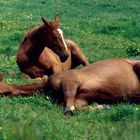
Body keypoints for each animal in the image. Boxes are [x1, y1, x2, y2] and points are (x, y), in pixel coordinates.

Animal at [0, 58, 140, 114]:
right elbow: (76, 106)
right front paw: (103, 106)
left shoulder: (70, 81)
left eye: (3, 92)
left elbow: (69, 107)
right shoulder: (81, 99)